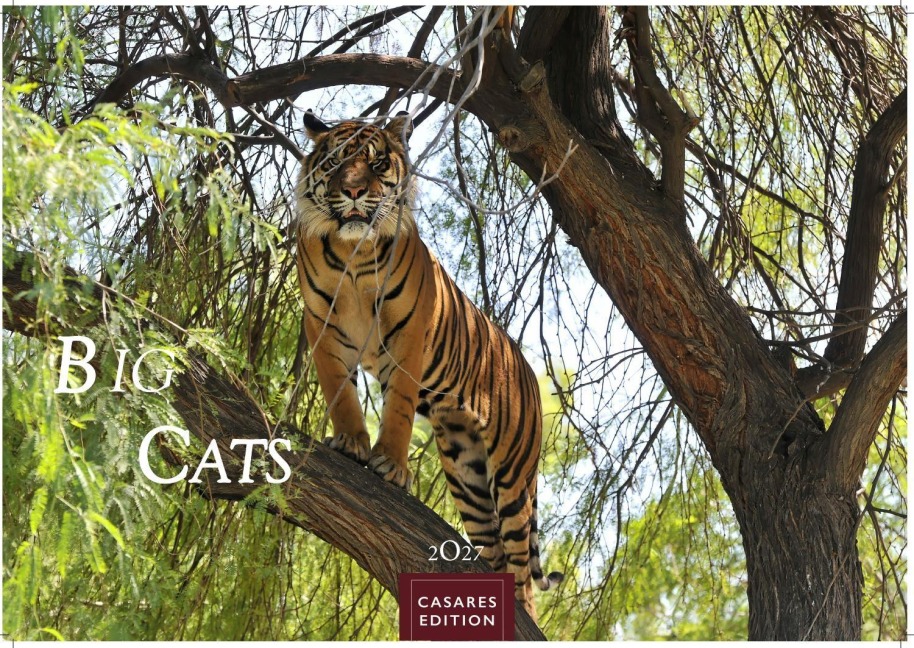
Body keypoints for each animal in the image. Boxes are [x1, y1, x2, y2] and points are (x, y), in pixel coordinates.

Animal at [293, 110, 562, 619]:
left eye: (377, 163)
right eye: (336, 162)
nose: (354, 192)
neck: (355, 253)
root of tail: (524, 365)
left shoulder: (409, 332)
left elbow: (398, 407)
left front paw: (391, 466)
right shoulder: (322, 328)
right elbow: (340, 393)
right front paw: (350, 443)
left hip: (513, 475)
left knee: (522, 567)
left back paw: (523, 611)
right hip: (466, 471)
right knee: (495, 550)